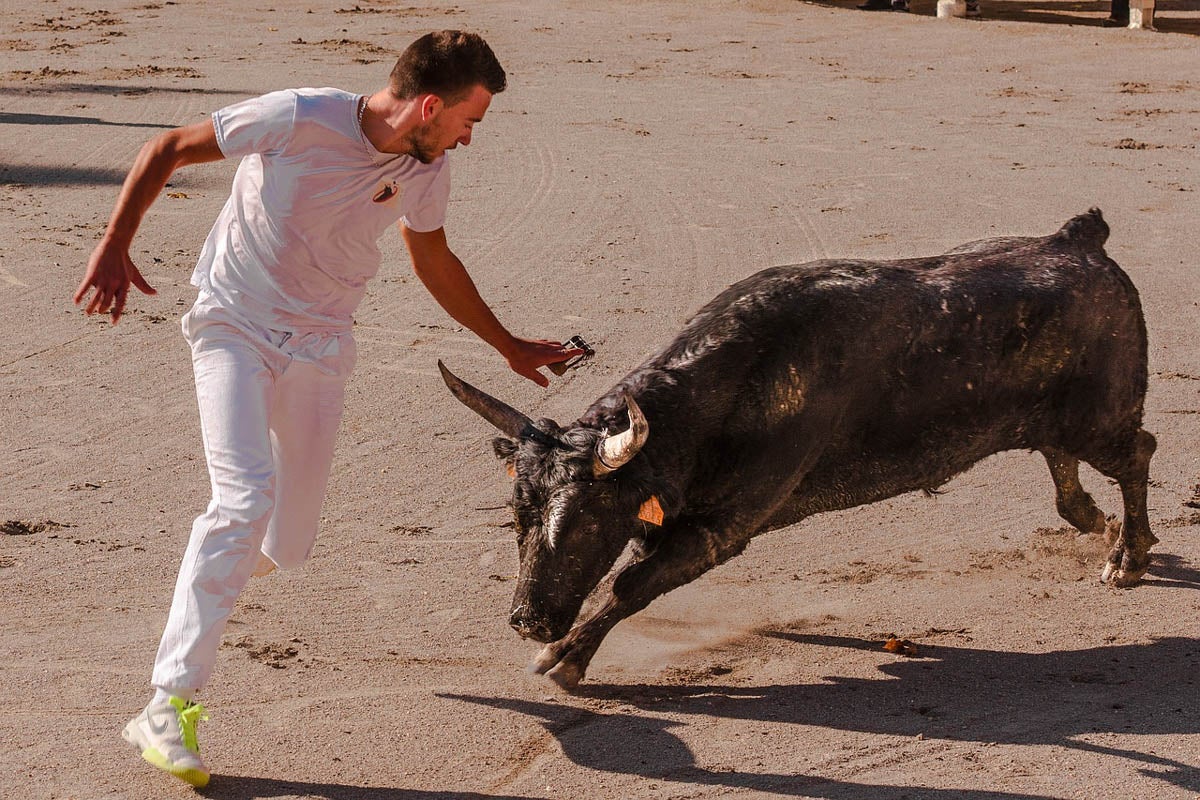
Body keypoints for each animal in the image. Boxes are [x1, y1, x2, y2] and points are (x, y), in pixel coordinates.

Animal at [439, 209, 1152, 690]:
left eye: (587, 522)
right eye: (518, 517)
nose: (527, 621)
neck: (726, 390)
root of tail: (1078, 240)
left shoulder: (722, 529)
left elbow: (630, 582)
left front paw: (564, 659)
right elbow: (633, 573)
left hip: (1102, 417)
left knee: (1137, 454)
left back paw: (1128, 557)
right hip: (1056, 420)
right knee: (1063, 461)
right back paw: (1096, 525)